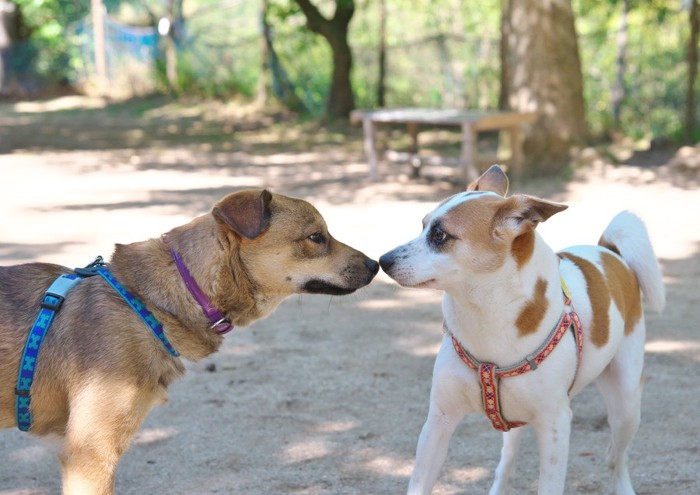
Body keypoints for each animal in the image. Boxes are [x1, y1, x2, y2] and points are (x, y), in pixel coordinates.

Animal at [380, 165, 664, 494]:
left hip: (627, 403)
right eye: (423, 225)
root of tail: (609, 251)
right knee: (508, 459)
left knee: (616, 458)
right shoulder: (438, 422)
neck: (486, 313)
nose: (382, 260)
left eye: (439, 235)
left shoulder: (555, 427)